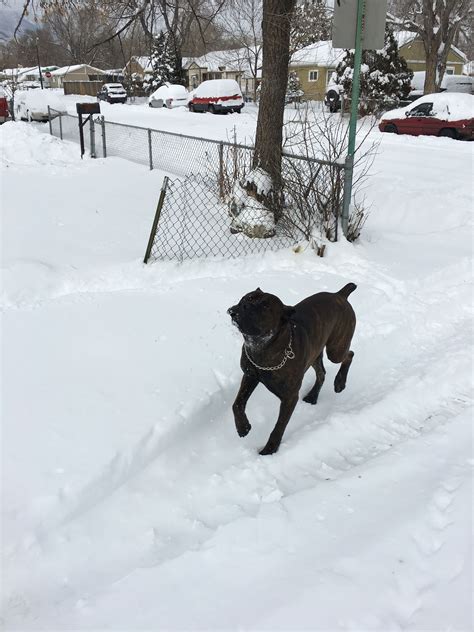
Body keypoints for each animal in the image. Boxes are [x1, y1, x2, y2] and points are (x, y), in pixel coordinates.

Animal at [227, 286, 356, 454]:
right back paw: (313, 396)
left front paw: (269, 450)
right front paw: (243, 427)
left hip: (335, 350)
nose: (243, 306)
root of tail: (339, 294)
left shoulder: (289, 397)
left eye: (265, 306)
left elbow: (279, 426)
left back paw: (340, 382)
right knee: (321, 373)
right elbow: (237, 404)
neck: (262, 349)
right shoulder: (250, 376)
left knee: (349, 355)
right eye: (246, 298)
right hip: (315, 353)